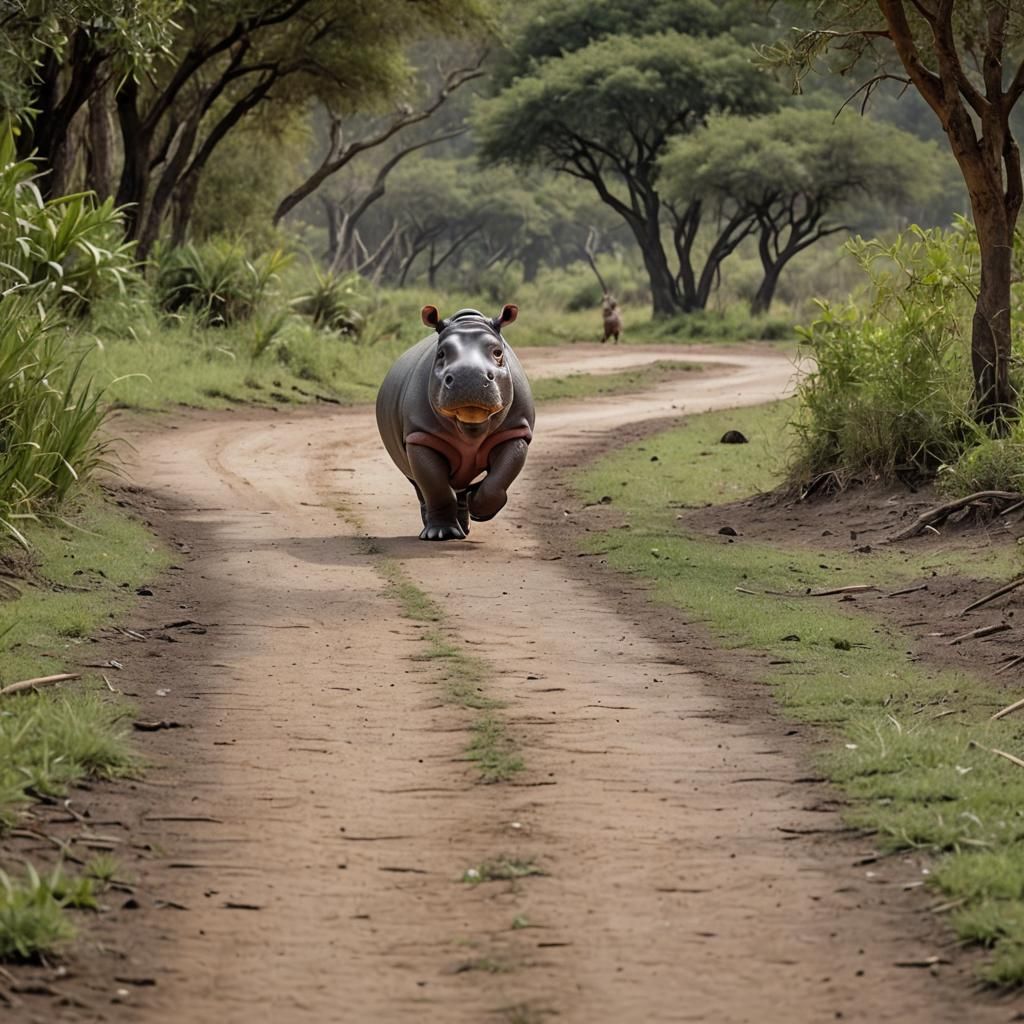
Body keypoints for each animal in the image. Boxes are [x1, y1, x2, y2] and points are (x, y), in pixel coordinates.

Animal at [375, 304, 535, 541]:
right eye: (440, 354)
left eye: (498, 353)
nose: (469, 376)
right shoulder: (421, 435)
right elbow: (435, 486)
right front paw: (441, 535)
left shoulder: (515, 431)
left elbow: (499, 479)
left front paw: (479, 509)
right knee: (420, 485)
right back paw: (438, 529)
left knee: (458, 488)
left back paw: (465, 524)